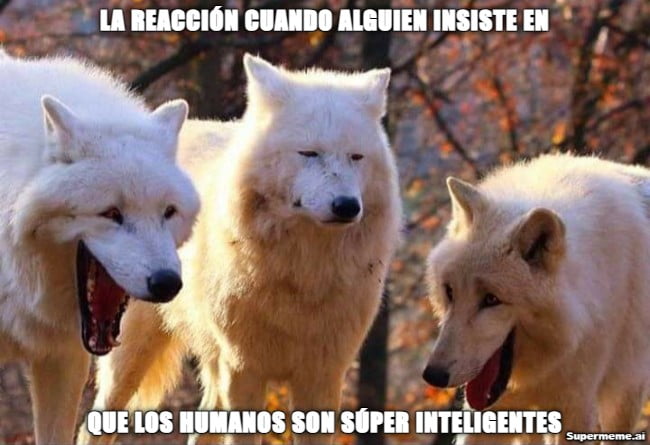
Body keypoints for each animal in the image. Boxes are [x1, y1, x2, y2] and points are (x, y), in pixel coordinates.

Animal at [79, 54, 402, 445]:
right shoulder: (243, 367)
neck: (304, 272)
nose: (347, 206)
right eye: (309, 153)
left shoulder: (323, 374)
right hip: (130, 355)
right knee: (92, 424)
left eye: (356, 157)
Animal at [423, 154, 650, 444]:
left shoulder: (576, 406)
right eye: (450, 291)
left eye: (491, 299)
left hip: (624, 397)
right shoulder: (495, 410)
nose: (433, 375)